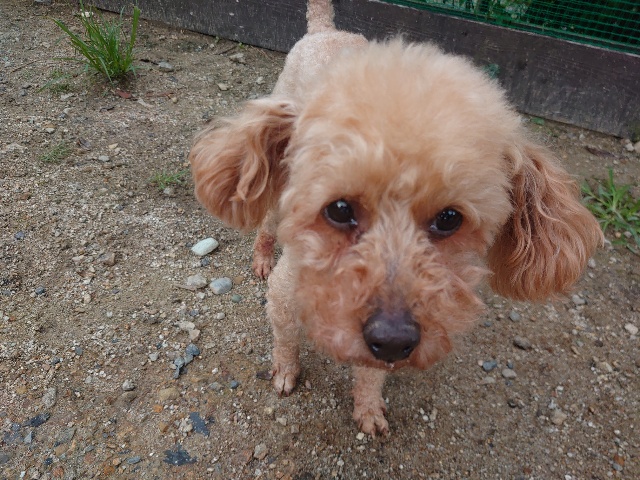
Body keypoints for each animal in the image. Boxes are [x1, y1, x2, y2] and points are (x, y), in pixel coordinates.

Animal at [189, 0, 603, 436]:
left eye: (449, 218)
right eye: (339, 209)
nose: (392, 338)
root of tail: (325, 28)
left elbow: (372, 373)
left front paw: (369, 408)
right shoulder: (285, 297)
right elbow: (285, 340)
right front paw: (286, 372)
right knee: (267, 221)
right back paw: (262, 256)